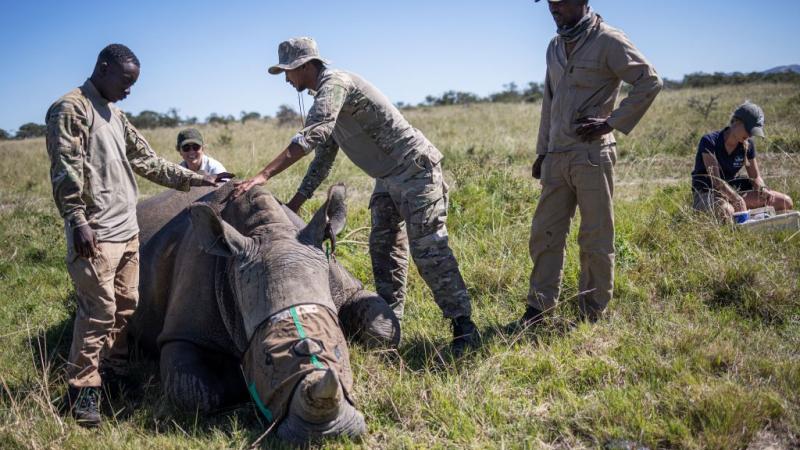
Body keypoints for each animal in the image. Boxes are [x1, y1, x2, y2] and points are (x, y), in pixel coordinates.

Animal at [130, 182, 400, 442]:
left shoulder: (343, 284)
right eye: (267, 359)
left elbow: (383, 326)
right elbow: (193, 390)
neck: (269, 231)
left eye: (339, 349)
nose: (327, 433)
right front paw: (242, 377)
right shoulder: (185, 332)